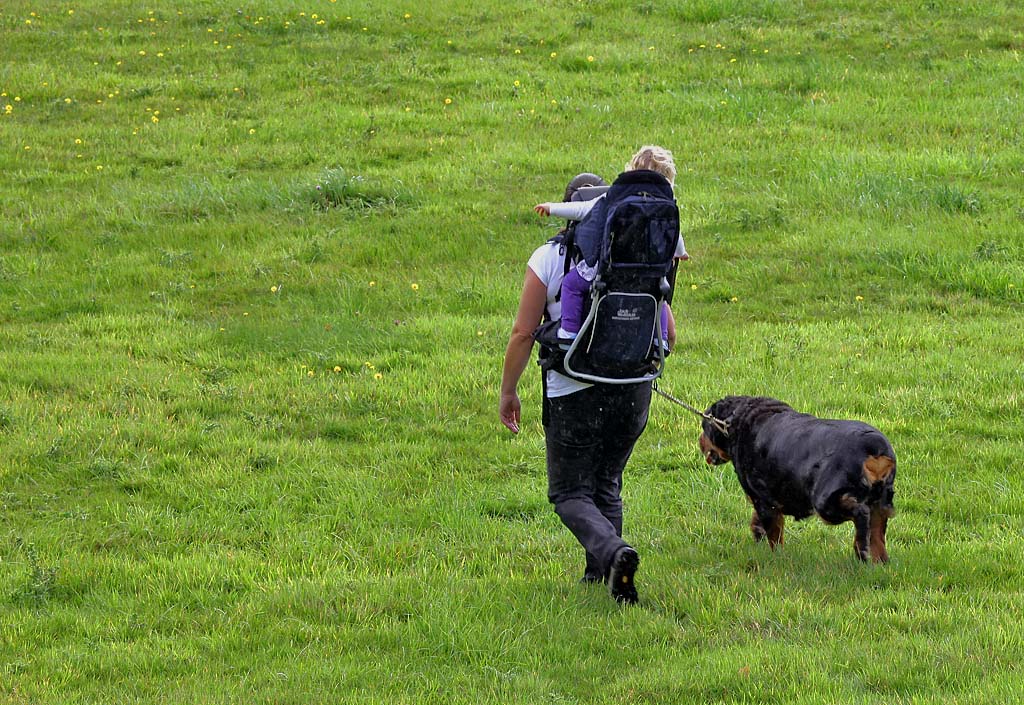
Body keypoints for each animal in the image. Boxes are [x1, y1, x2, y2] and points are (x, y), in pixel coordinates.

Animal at [700, 397, 892, 561]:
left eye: (703, 427)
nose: (700, 442)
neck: (736, 421)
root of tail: (873, 448)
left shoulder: (763, 500)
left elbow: (774, 535)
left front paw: (776, 557)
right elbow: (759, 522)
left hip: (827, 504)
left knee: (861, 513)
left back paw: (861, 550)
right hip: (881, 503)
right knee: (877, 538)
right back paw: (879, 563)